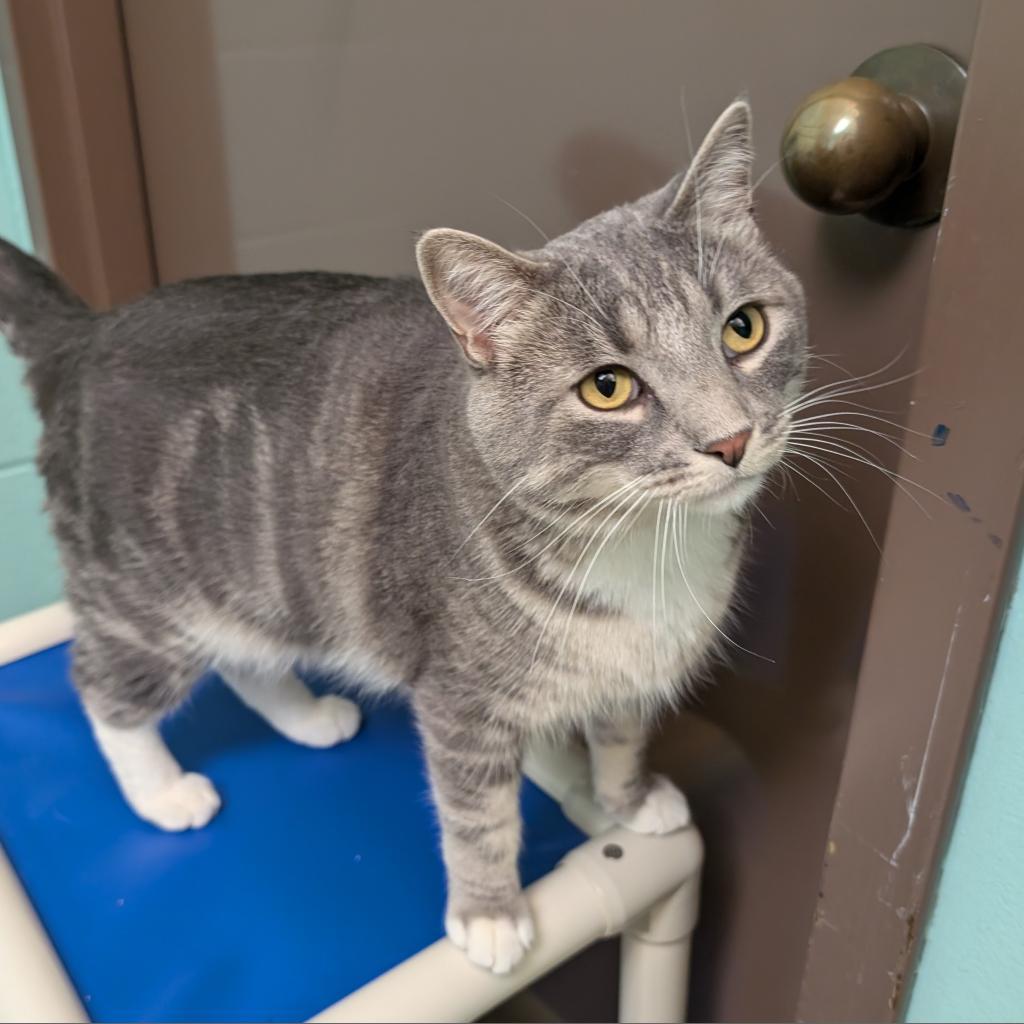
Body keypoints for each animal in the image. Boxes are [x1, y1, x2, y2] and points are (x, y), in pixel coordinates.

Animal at [2, 103, 806, 974]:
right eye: (607, 387)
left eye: (743, 328)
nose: (729, 440)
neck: (645, 544)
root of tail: (88, 333)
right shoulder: (460, 697)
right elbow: (479, 814)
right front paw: (490, 914)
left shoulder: (631, 674)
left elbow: (620, 737)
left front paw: (627, 800)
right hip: (143, 598)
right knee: (101, 687)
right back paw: (162, 790)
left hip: (260, 580)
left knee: (246, 658)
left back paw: (307, 717)